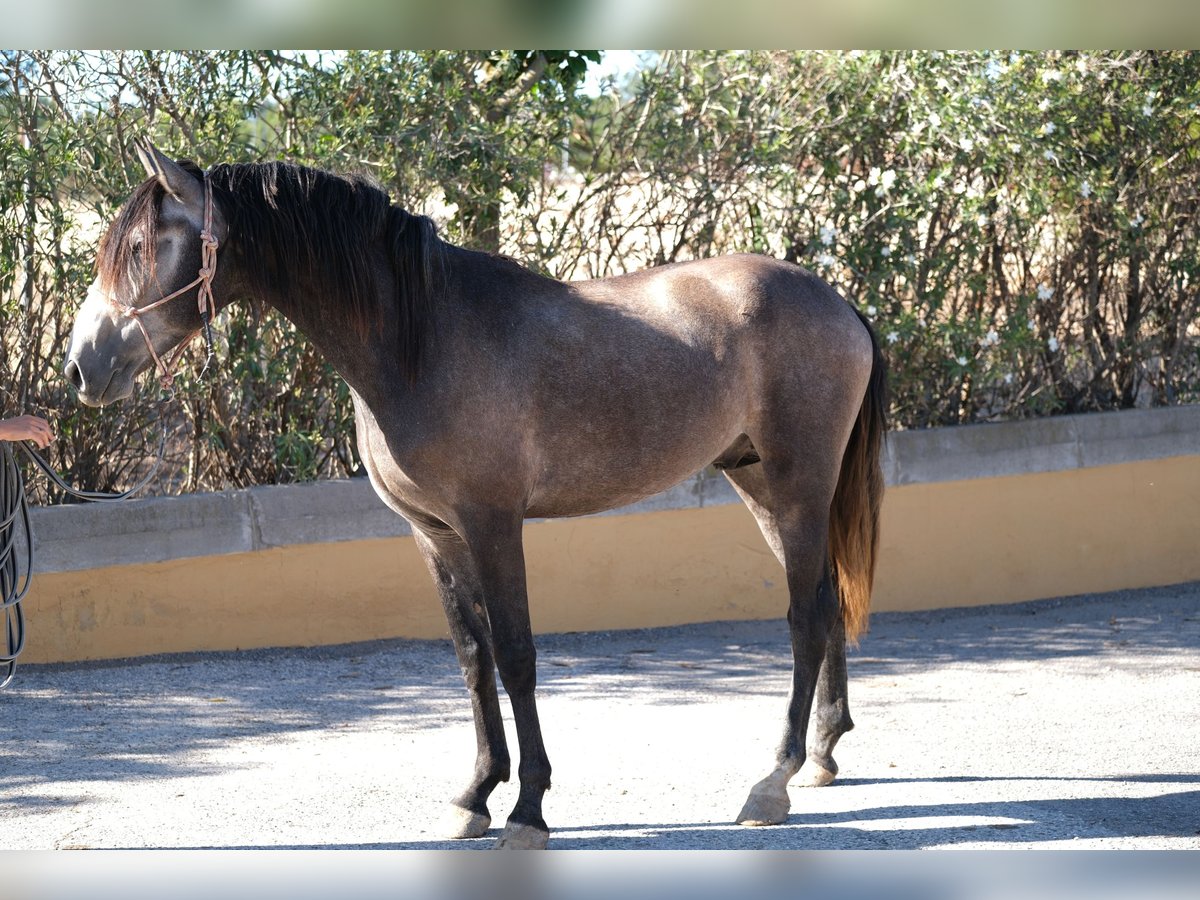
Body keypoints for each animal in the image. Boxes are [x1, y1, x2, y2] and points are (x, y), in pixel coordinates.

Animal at [68, 142, 892, 854]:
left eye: (141, 248)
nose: (82, 366)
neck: (423, 340)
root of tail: (839, 303)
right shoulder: (434, 533)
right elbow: (473, 655)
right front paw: (475, 795)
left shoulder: (494, 525)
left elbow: (517, 654)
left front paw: (528, 809)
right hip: (759, 484)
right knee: (825, 601)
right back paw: (821, 757)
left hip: (798, 486)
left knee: (806, 615)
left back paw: (773, 780)